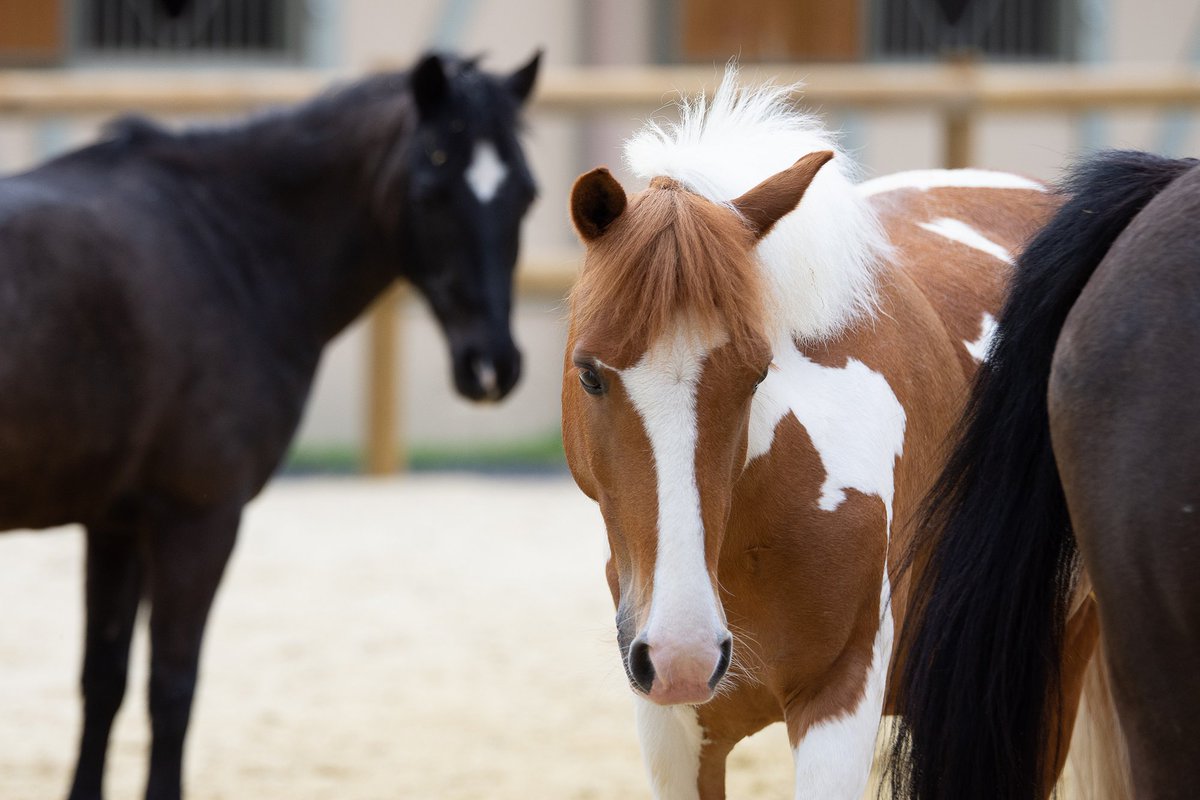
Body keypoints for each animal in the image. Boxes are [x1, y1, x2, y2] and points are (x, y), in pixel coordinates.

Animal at [0, 50, 540, 800]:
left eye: (525, 193)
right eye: (431, 186)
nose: (492, 365)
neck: (228, 243)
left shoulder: (115, 524)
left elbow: (102, 683)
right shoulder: (198, 520)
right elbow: (172, 689)